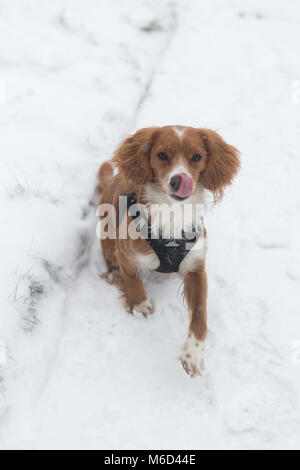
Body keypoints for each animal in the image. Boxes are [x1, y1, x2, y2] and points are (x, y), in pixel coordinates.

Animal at [97, 125, 240, 374]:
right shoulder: (126, 255)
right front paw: (140, 305)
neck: (172, 213)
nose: (179, 180)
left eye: (197, 157)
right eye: (162, 155)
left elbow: (200, 314)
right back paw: (114, 274)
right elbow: (133, 281)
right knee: (109, 257)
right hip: (106, 231)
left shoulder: (196, 268)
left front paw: (193, 354)